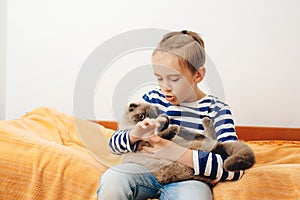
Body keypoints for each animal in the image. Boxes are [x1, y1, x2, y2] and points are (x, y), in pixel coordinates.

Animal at [118, 102, 254, 185]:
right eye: (141, 116)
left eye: (153, 116)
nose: (150, 121)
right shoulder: (144, 143)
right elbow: (161, 134)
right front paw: (169, 126)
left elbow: (163, 131)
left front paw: (165, 120)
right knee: (211, 140)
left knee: (210, 138)